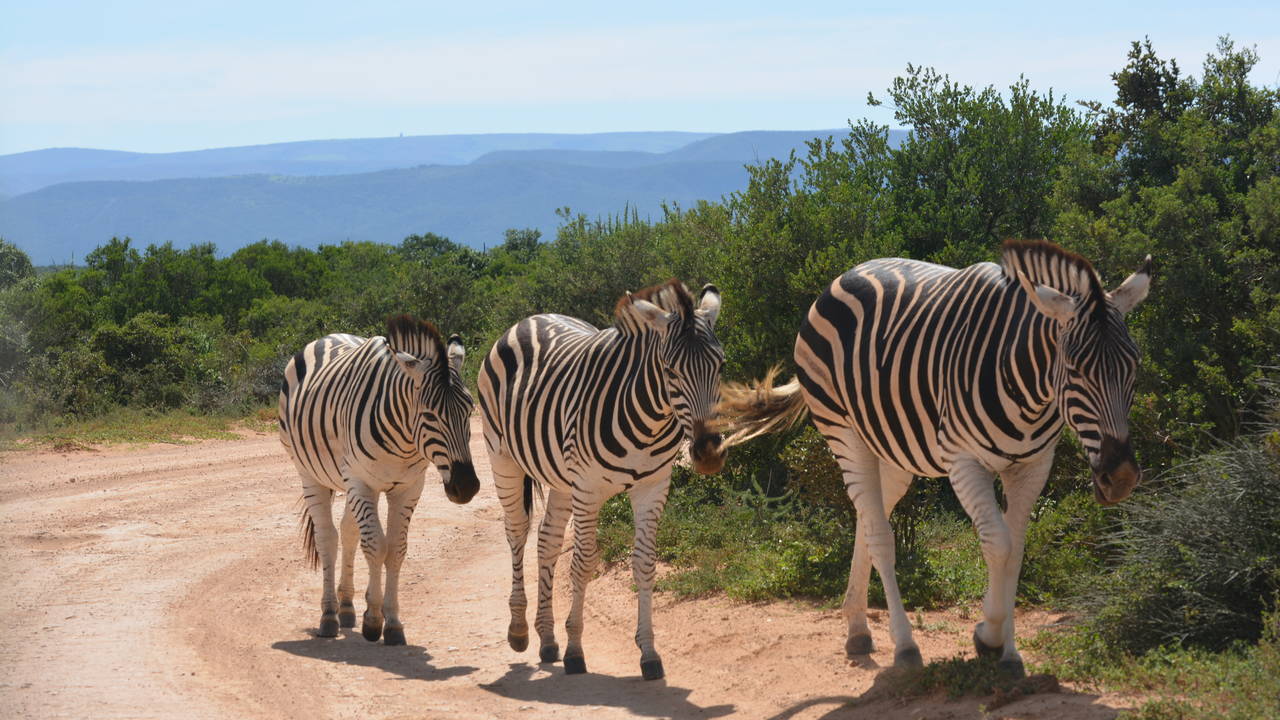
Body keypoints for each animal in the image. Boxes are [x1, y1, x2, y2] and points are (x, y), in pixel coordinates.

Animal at [278, 314, 479, 646]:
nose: (467, 487)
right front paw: (373, 621)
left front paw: (393, 622)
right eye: (429, 415)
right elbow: (374, 546)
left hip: (348, 482)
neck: (405, 438)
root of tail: (328, 336)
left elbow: (395, 550)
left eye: (470, 409)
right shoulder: (362, 482)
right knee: (328, 537)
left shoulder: (408, 487)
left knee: (347, 532)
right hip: (310, 474)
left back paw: (346, 607)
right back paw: (329, 616)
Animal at [478, 280, 726, 680]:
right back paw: (518, 631)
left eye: (721, 365)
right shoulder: (589, 490)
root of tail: (531, 319)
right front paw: (576, 652)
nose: (709, 453)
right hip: (502, 456)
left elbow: (644, 563)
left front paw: (649, 653)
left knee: (547, 540)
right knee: (516, 530)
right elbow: (582, 564)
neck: (649, 421)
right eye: (670, 370)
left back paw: (547, 640)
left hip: (561, 478)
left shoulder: (653, 487)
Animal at [719, 240, 1151, 675]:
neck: (1028, 388)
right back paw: (905, 645)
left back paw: (858, 630)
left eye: (1135, 364)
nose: (1122, 477)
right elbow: (999, 544)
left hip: (891, 452)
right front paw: (989, 637)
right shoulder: (963, 461)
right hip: (843, 431)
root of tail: (845, 275)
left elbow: (1016, 549)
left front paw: (1009, 652)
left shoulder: (1032, 465)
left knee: (868, 520)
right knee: (880, 535)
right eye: (1075, 368)